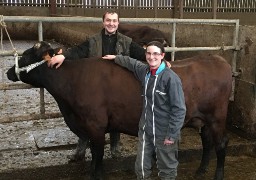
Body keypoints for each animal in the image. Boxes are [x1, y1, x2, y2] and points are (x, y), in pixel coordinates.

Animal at [7, 41, 233, 179]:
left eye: (26, 55)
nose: (9, 72)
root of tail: (217, 59)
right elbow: (93, 153)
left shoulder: (95, 125)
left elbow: (98, 154)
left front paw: (96, 175)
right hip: (201, 119)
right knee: (207, 142)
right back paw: (201, 171)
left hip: (217, 117)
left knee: (221, 143)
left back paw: (218, 174)